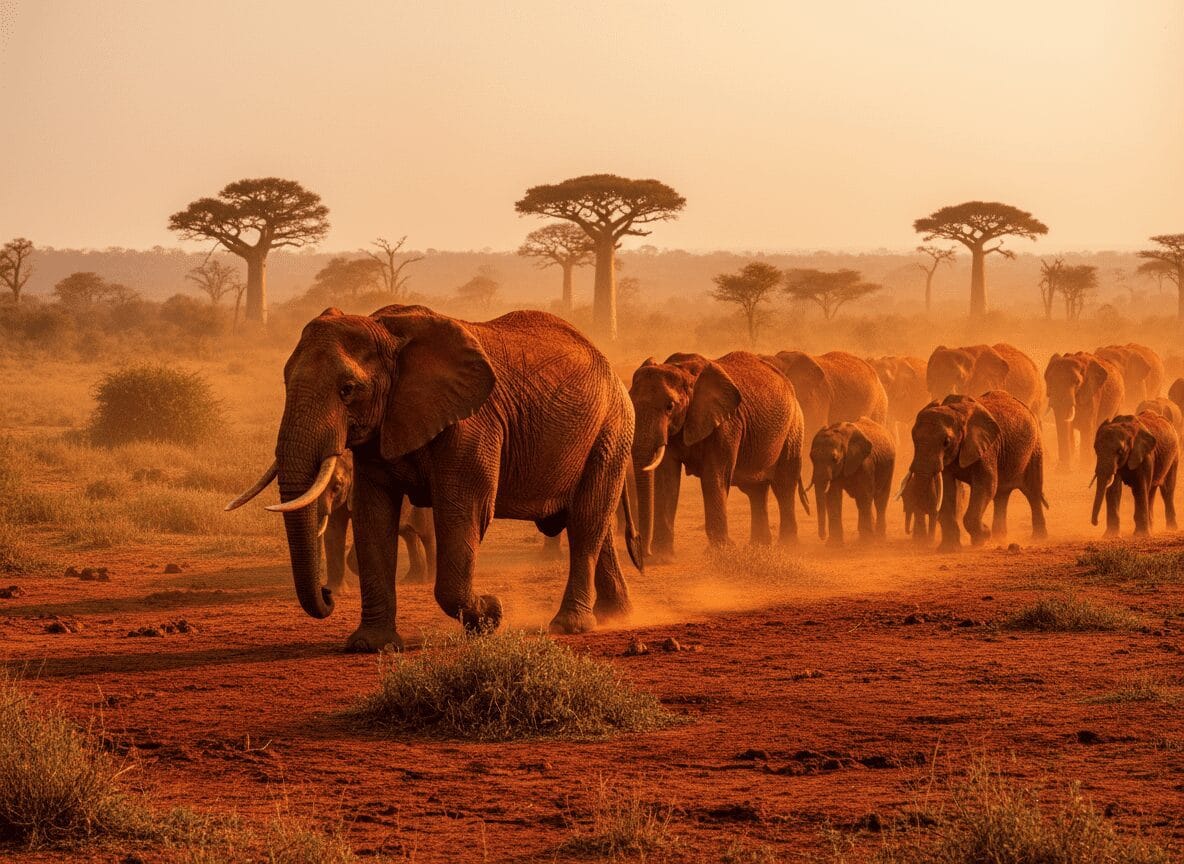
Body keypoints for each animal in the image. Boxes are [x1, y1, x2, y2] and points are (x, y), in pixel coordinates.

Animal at [227, 305, 640, 651]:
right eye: (284, 381)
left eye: (348, 390)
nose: (327, 595)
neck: (386, 330)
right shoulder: (383, 428)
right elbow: (372, 515)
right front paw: (369, 644)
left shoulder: (473, 425)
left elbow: (464, 511)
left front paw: (491, 615)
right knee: (593, 525)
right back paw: (617, 615)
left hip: (612, 429)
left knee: (586, 522)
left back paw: (570, 626)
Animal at [629, 351, 808, 561]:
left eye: (670, 406)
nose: (645, 553)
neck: (684, 372)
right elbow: (667, 480)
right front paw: (663, 558)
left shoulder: (727, 425)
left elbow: (714, 477)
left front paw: (721, 551)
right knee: (756, 490)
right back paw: (758, 548)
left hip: (794, 427)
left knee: (784, 485)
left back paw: (788, 547)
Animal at [906, 392, 1047, 551]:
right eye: (913, 437)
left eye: (946, 442)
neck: (956, 411)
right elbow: (949, 488)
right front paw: (948, 549)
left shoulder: (987, 449)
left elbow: (985, 485)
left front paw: (982, 539)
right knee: (1001, 494)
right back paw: (999, 538)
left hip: (1035, 449)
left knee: (1032, 492)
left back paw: (1038, 538)